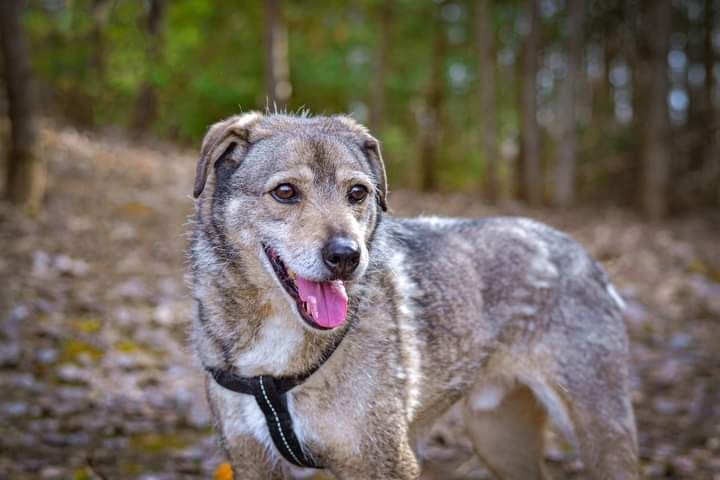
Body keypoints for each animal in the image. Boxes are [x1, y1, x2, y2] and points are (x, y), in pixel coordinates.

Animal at [188, 110, 640, 478]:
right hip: (499, 438)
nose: (347, 256)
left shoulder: (386, 460)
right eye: (285, 192)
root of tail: (584, 254)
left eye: (357, 193)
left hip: (599, 430)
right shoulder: (250, 459)